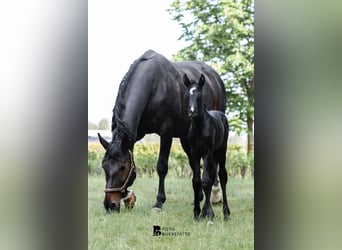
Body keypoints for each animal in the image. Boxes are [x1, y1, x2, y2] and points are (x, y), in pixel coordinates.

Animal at [97, 50, 226, 213]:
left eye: (122, 168)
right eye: (104, 166)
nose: (110, 205)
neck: (155, 86)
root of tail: (215, 76)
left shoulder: (166, 132)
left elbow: (161, 166)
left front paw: (158, 202)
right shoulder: (134, 134)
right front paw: (128, 197)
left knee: (213, 162)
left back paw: (215, 195)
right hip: (186, 138)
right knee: (193, 161)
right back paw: (199, 197)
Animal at [184, 73, 230, 222]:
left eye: (199, 95)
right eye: (187, 94)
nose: (192, 111)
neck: (200, 126)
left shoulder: (207, 152)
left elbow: (205, 180)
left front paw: (209, 214)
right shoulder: (194, 152)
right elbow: (197, 181)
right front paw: (197, 213)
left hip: (221, 150)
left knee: (222, 176)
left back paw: (226, 213)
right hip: (213, 155)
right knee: (212, 176)